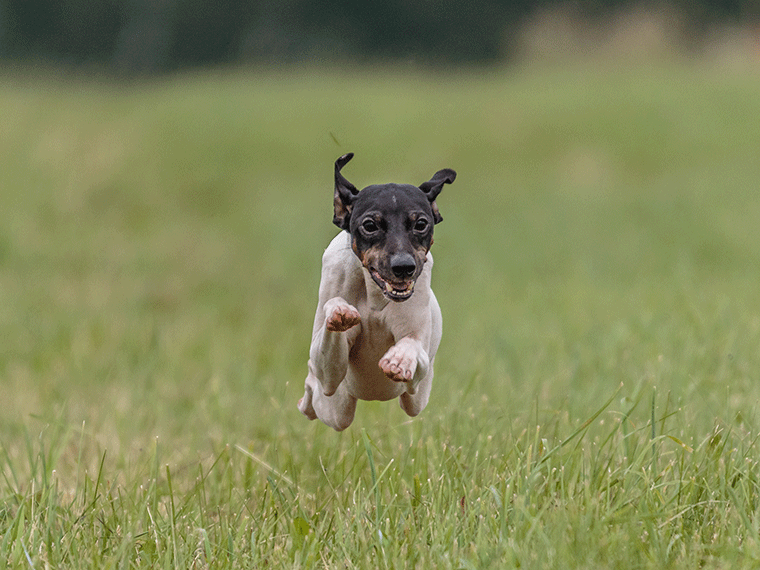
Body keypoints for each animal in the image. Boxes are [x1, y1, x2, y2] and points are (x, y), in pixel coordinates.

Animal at [296, 153, 454, 428]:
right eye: (370, 225)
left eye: (421, 223)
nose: (404, 267)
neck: (375, 297)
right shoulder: (329, 373)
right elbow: (325, 361)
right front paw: (339, 311)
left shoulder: (417, 375)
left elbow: (413, 346)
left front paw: (400, 358)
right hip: (336, 409)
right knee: (314, 390)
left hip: (416, 399)